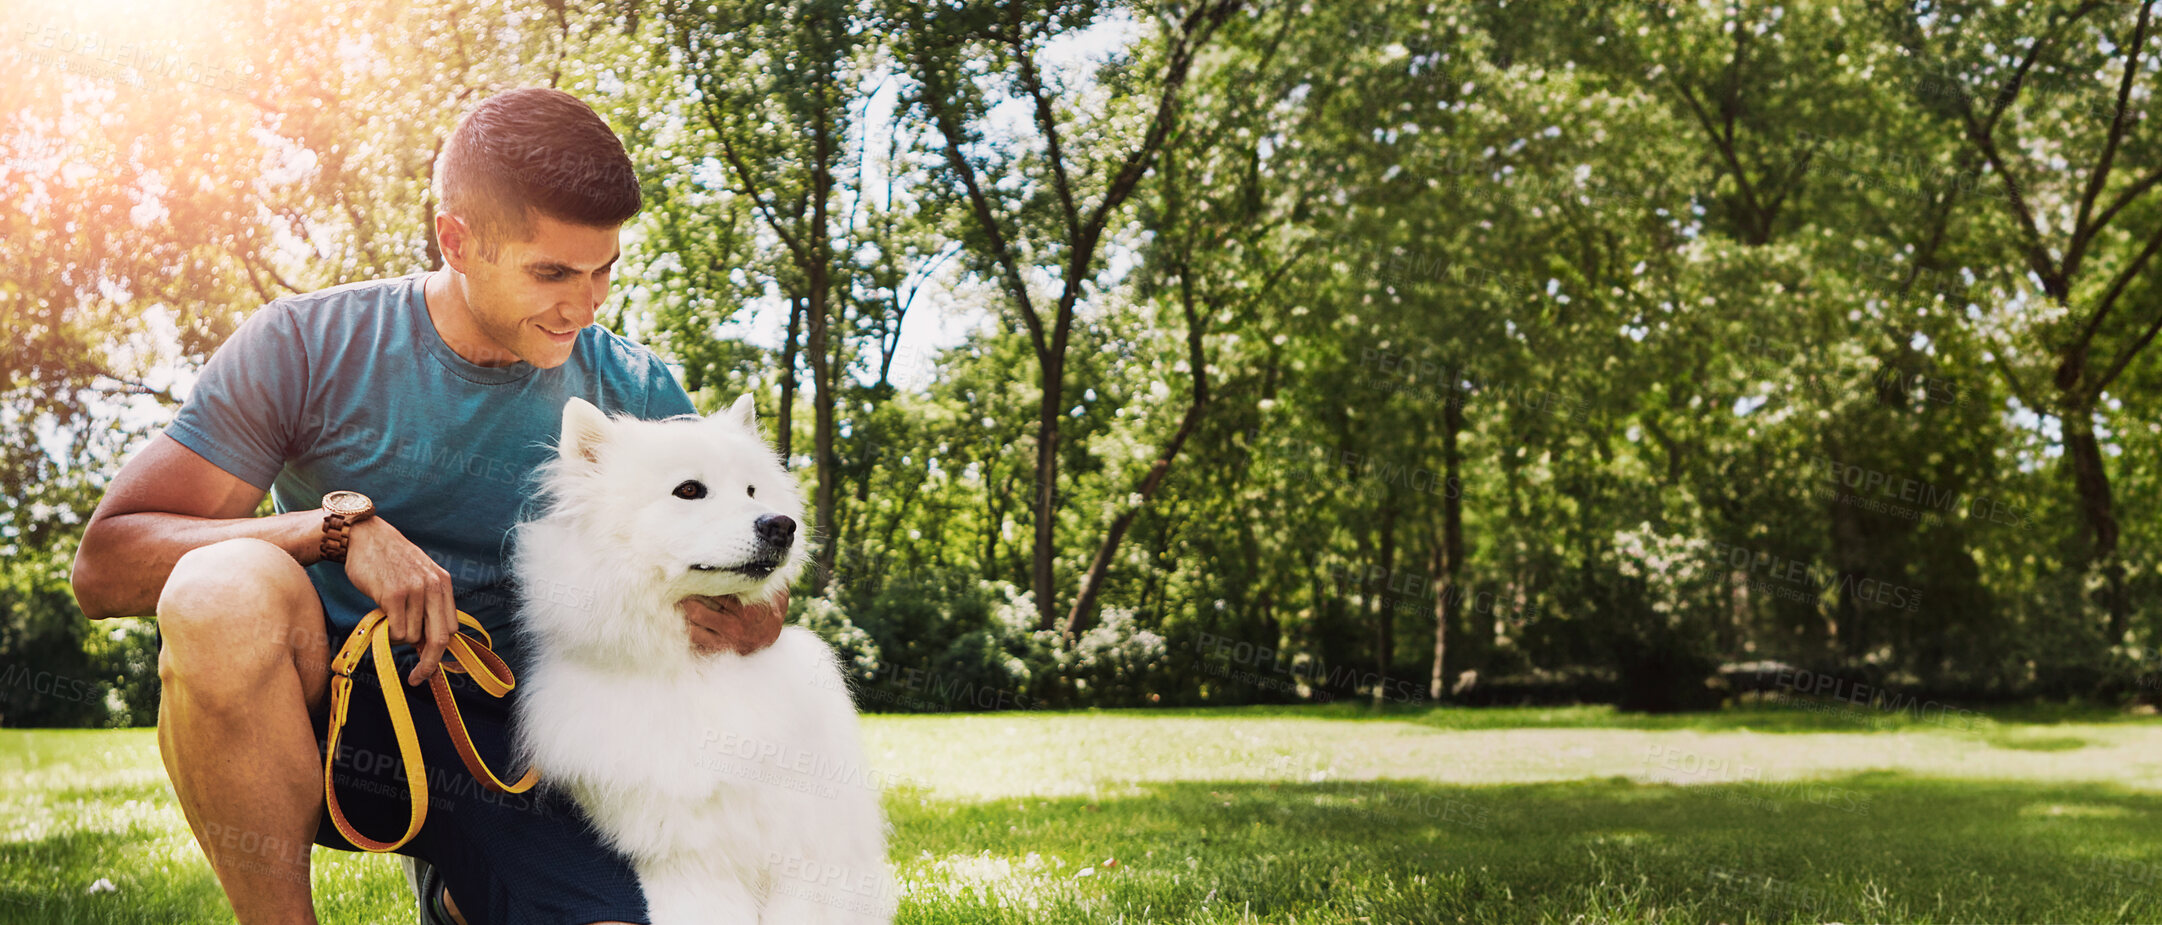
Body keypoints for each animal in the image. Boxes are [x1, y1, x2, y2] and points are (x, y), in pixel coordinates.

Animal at [510, 393, 890, 920]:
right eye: (689, 490)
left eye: (752, 491)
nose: (781, 525)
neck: (696, 668)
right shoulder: (687, 855)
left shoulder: (804, 851)